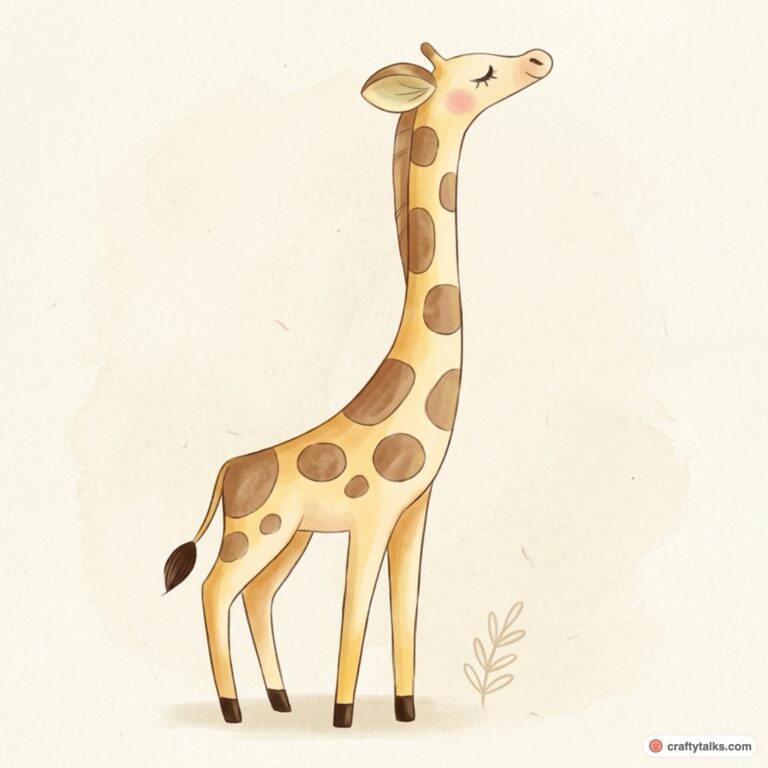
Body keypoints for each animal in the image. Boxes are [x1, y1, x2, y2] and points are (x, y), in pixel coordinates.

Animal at [164, 42, 553, 728]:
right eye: (479, 71)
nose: (538, 58)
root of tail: (227, 471)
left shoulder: (414, 512)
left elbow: (404, 609)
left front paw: (405, 709)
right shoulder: (370, 517)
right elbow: (356, 610)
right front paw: (344, 715)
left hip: (289, 540)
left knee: (257, 596)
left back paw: (281, 701)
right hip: (256, 532)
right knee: (214, 589)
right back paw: (234, 708)